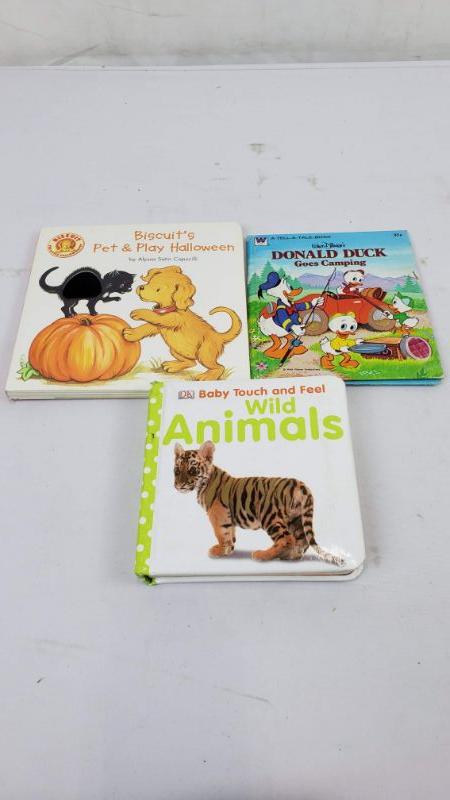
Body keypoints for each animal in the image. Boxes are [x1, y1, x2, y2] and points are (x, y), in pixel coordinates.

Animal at [174, 441, 344, 565]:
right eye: (176, 470)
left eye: (192, 470)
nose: (179, 485)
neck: (202, 484)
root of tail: (301, 485)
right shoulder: (227, 515)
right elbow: (230, 534)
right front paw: (228, 550)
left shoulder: (218, 514)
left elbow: (222, 533)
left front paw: (219, 551)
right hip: (296, 518)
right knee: (301, 541)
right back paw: (289, 556)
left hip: (269, 515)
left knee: (286, 539)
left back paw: (262, 555)